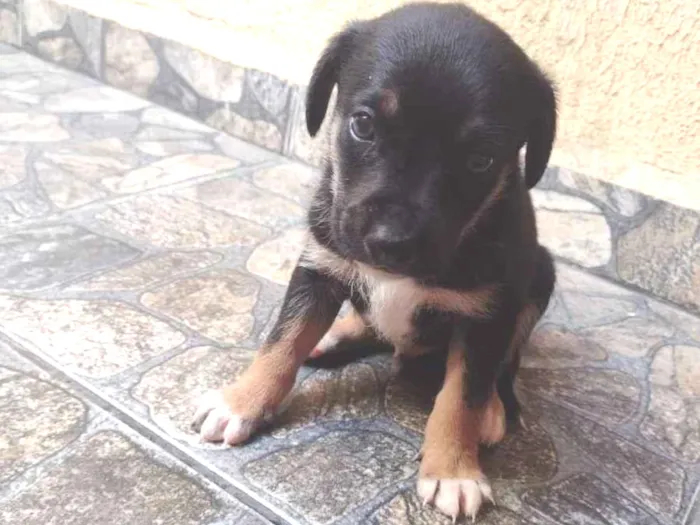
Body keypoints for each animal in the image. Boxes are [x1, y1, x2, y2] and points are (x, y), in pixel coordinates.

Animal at [190, 3, 552, 520]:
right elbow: (282, 341)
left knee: (506, 365)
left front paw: (453, 470)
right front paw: (241, 402)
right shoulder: (319, 264)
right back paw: (334, 336)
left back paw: (493, 409)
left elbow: (460, 396)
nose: (390, 243)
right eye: (362, 125)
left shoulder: (487, 313)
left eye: (481, 159)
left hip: (541, 276)